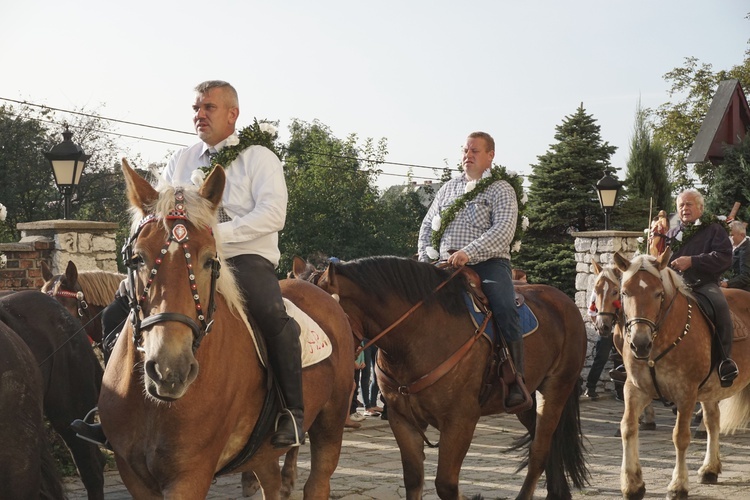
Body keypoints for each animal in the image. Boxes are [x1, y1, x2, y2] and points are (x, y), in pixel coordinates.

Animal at [100, 162, 356, 498]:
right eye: (138, 257)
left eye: (210, 260)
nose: (170, 370)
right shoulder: (134, 476)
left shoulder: (190, 476)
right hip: (262, 451)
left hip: (331, 422)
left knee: (318, 481)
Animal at [314, 256, 592, 498]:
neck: (417, 335)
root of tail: (565, 302)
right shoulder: (402, 419)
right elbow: (414, 479)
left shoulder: (460, 420)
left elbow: (446, 485)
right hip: (527, 400)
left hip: (556, 389)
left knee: (539, 452)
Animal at [612, 252, 750, 498]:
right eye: (625, 292)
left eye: (658, 293)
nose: (639, 343)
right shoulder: (635, 389)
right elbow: (627, 427)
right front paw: (632, 484)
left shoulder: (686, 394)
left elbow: (680, 437)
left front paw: (678, 485)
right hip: (710, 390)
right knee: (712, 421)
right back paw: (709, 469)